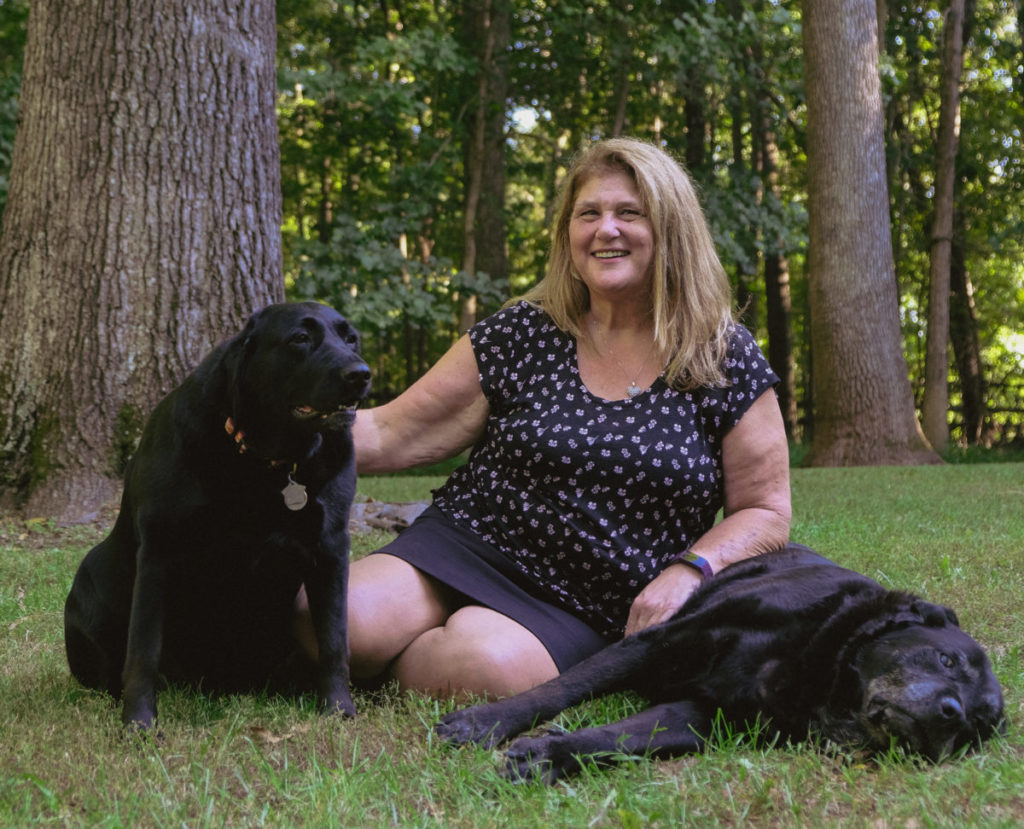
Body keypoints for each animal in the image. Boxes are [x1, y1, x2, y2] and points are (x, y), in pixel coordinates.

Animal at [64, 300, 368, 728]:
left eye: (350, 338)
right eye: (300, 338)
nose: (360, 374)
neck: (268, 460)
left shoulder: (330, 549)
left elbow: (334, 641)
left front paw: (339, 709)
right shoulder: (159, 552)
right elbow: (143, 650)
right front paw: (139, 723)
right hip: (91, 576)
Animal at [436, 544, 1003, 781]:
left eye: (977, 727)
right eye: (948, 659)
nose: (950, 713)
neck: (815, 661)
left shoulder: (707, 716)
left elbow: (622, 738)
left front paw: (550, 757)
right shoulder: (658, 640)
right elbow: (561, 688)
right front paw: (484, 722)